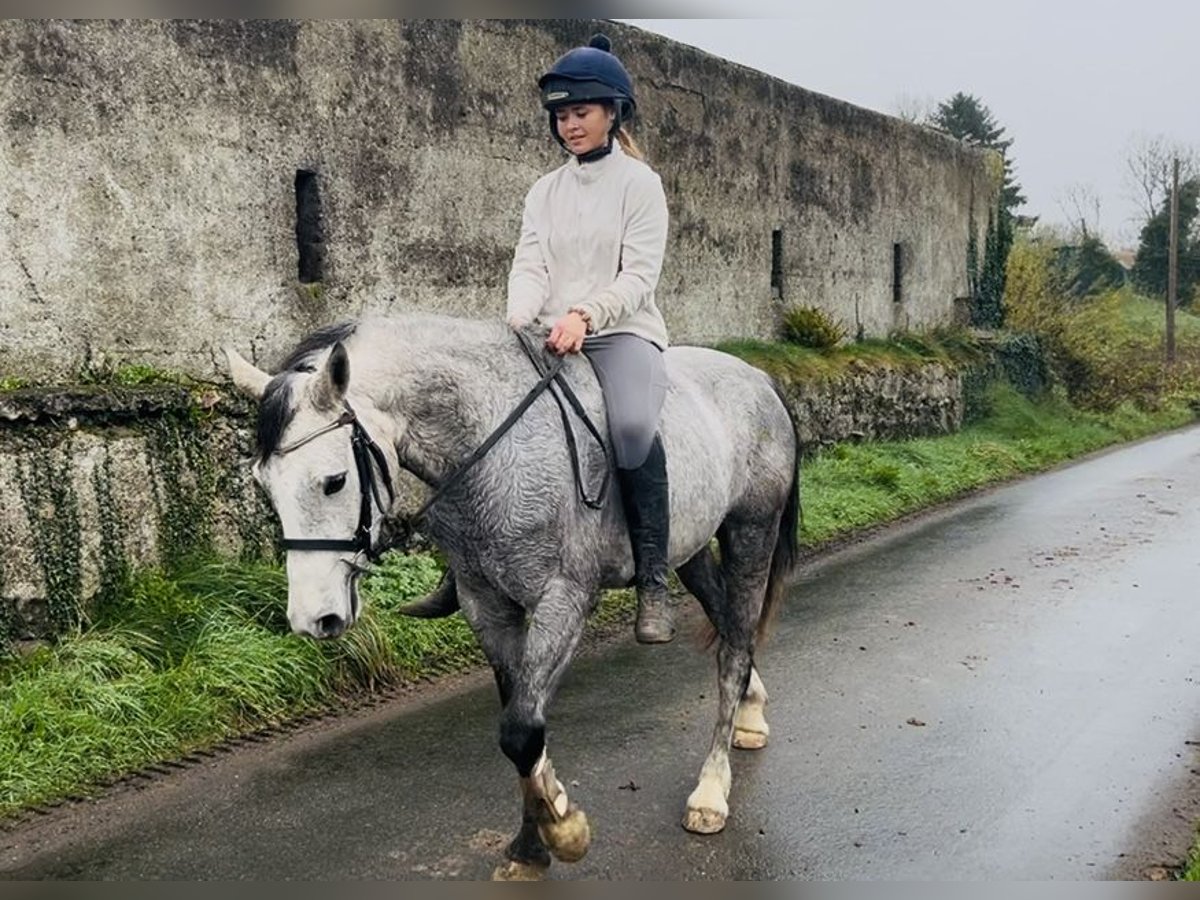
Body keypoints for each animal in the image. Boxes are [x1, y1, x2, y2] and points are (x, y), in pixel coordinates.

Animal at [225, 312, 800, 880]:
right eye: (264, 485)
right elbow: (520, 723)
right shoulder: (488, 607)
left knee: (733, 649)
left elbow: (522, 729)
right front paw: (532, 841)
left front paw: (564, 831)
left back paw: (710, 792)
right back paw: (750, 711)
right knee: (728, 624)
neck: (494, 444)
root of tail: (758, 378)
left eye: (334, 480)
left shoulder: (562, 601)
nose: (312, 619)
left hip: (751, 532)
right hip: (691, 548)